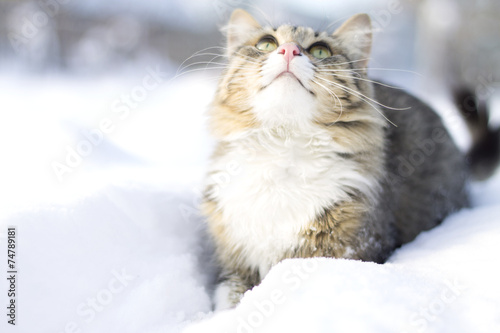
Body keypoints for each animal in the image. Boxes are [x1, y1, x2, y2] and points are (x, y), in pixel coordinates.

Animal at [201, 8, 470, 308]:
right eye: (267, 44)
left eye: (320, 50)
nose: (289, 49)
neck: (285, 144)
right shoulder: (233, 264)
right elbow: (229, 298)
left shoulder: (351, 246)